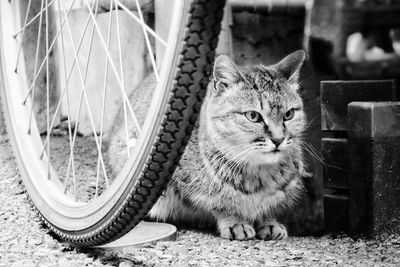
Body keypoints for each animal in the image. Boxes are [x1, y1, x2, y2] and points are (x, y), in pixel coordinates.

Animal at [107, 49, 306, 241]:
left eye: (289, 114)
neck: (259, 171)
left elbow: (267, 207)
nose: (279, 139)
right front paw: (235, 222)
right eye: (253, 116)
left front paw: (268, 222)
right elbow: (221, 205)